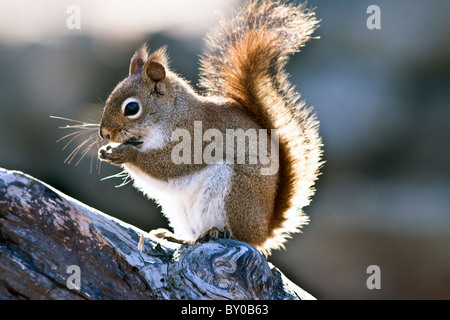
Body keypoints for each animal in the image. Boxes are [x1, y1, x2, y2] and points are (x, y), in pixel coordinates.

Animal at [98, 0, 324, 255]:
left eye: (132, 108)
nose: (104, 133)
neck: (174, 115)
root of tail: (264, 230)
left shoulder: (194, 142)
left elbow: (166, 166)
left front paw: (125, 153)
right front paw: (107, 150)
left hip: (233, 194)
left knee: (240, 236)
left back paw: (216, 232)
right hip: (180, 209)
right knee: (192, 236)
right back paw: (176, 237)